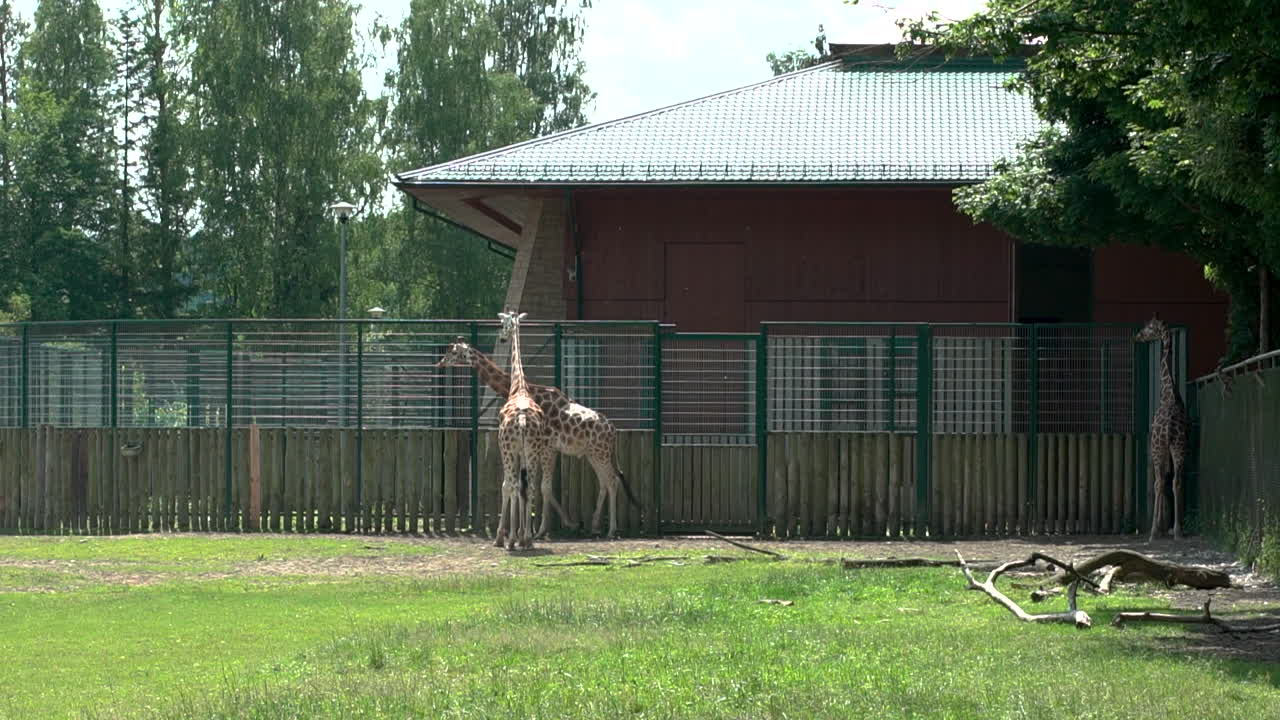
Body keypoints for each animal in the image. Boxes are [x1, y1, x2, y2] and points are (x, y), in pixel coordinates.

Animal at [437, 338, 641, 538]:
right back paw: (595, 526)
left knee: (612, 481)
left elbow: (544, 488)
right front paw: (561, 525)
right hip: (592, 453)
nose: (440, 363)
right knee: (604, 482)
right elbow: (535, 486)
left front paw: (541, 530)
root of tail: (613, 430)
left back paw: (611, 530)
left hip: (600, 453)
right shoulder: (542, 448)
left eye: (453, 352)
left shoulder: (547, 447)